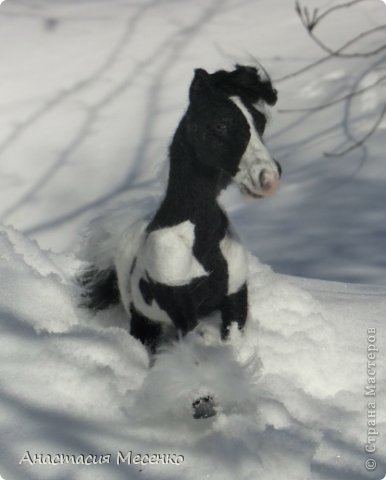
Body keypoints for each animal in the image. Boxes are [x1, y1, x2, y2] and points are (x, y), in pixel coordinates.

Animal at [81, 64, 280, 356]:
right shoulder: (179, 304)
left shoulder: (235, 295)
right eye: (220, 124)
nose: (268, 178)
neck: (201, 241)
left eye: (261, 122)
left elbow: (231, 343)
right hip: (144, 320)